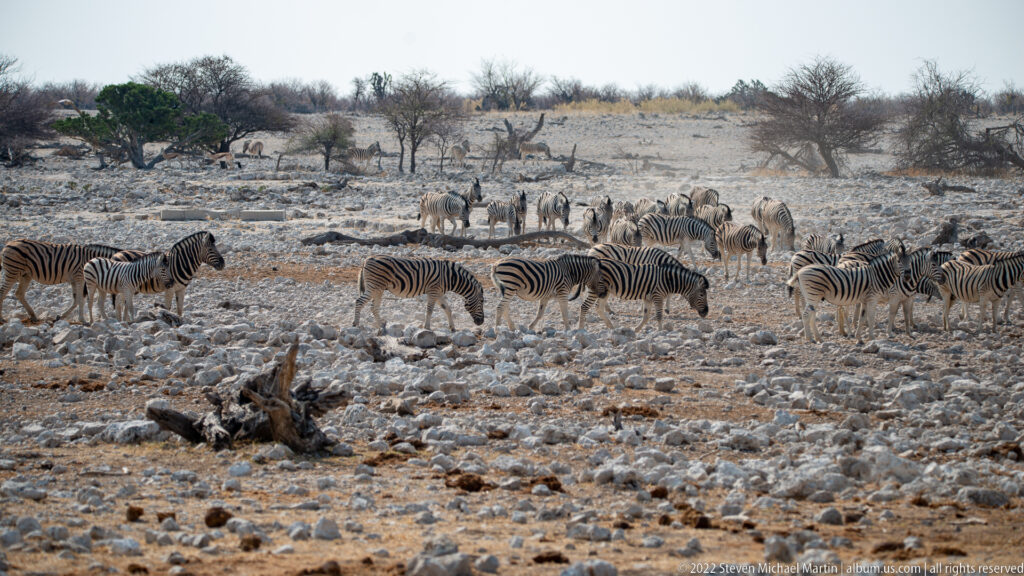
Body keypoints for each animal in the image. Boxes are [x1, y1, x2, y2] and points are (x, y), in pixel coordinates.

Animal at [354, 256, 484, 330]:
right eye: (482, 302)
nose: (481, 322)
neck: (450, 277)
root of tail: (366, 260)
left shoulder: (439, 293)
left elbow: (447, 308)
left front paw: (452, 327)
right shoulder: (433, 291)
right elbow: (430, 309)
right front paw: (427, 327)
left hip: (378, 289)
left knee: (373, 307)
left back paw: (381, 325)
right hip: (374, 287)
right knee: (359, 301)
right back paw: (356, 324)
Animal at [575, 260, 709, 331]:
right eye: (702, 294)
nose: (706, 312)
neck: (667, 280)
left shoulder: (648, 298)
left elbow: (646, 316)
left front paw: (636, 330)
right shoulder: (657, 295)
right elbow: (659, 315)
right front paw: (661, 332)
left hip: (605, 292)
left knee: (599, 308)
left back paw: (612, 327)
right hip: (596, 290)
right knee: (584, 306)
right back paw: (580, 329)